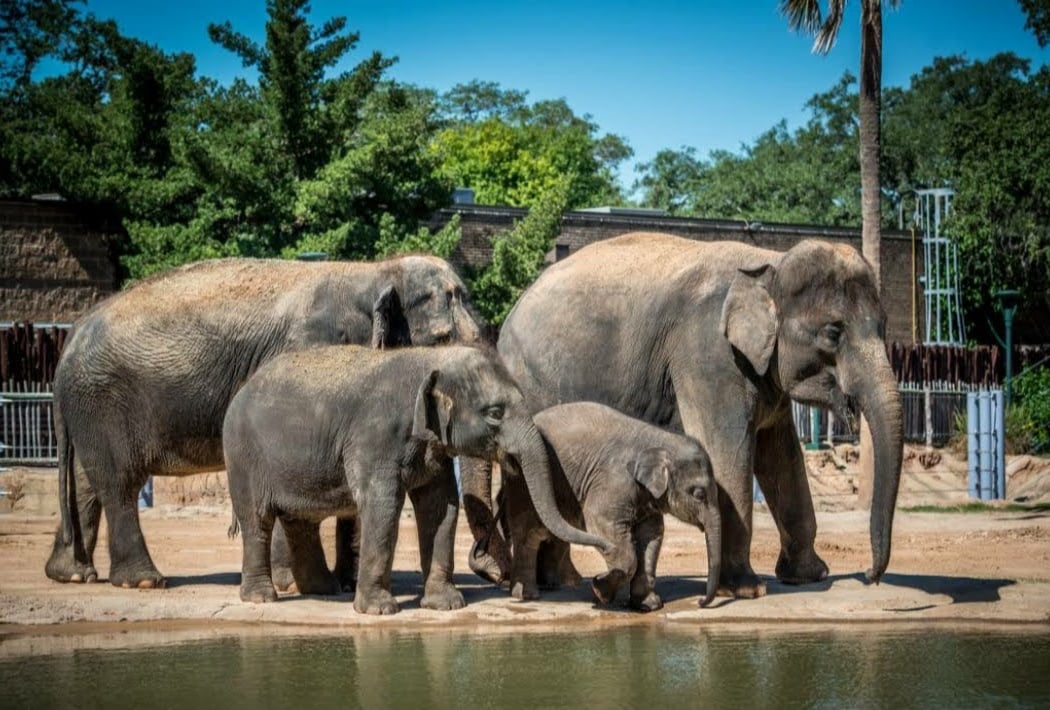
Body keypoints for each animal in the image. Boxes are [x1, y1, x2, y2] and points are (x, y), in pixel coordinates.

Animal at [46, 255, 480, 589]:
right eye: (442, 340)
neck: (375, 271)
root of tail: (71, 337)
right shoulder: (311, 351)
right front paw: (295, 583)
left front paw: (344, 583)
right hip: (103, 401)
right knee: (118, 483)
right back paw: (143, 581)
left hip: (89, 407)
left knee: (86, 481)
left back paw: (72, 574)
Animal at [222, 344, 613, 615]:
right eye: (494, 413)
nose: (606, 548)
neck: (428, 358)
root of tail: (239, 392)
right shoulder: (374, 437)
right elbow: (383, 507)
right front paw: (380, 610)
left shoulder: (433, 448)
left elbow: (441, 509)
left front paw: (447, 604)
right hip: (243, 456)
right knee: (258, 519)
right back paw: (262, 597)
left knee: (300, 521)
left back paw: (323, 590)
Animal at [491, 401, 721, 611]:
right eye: (699, 494)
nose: (701, 602)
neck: (660, 438)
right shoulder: (614, 481)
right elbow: (602, 523)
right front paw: (601, 591)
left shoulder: (646, 497)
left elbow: (651, 536)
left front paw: (648, 606)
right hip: (521, 482)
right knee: (529, 533)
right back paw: (527, 595)